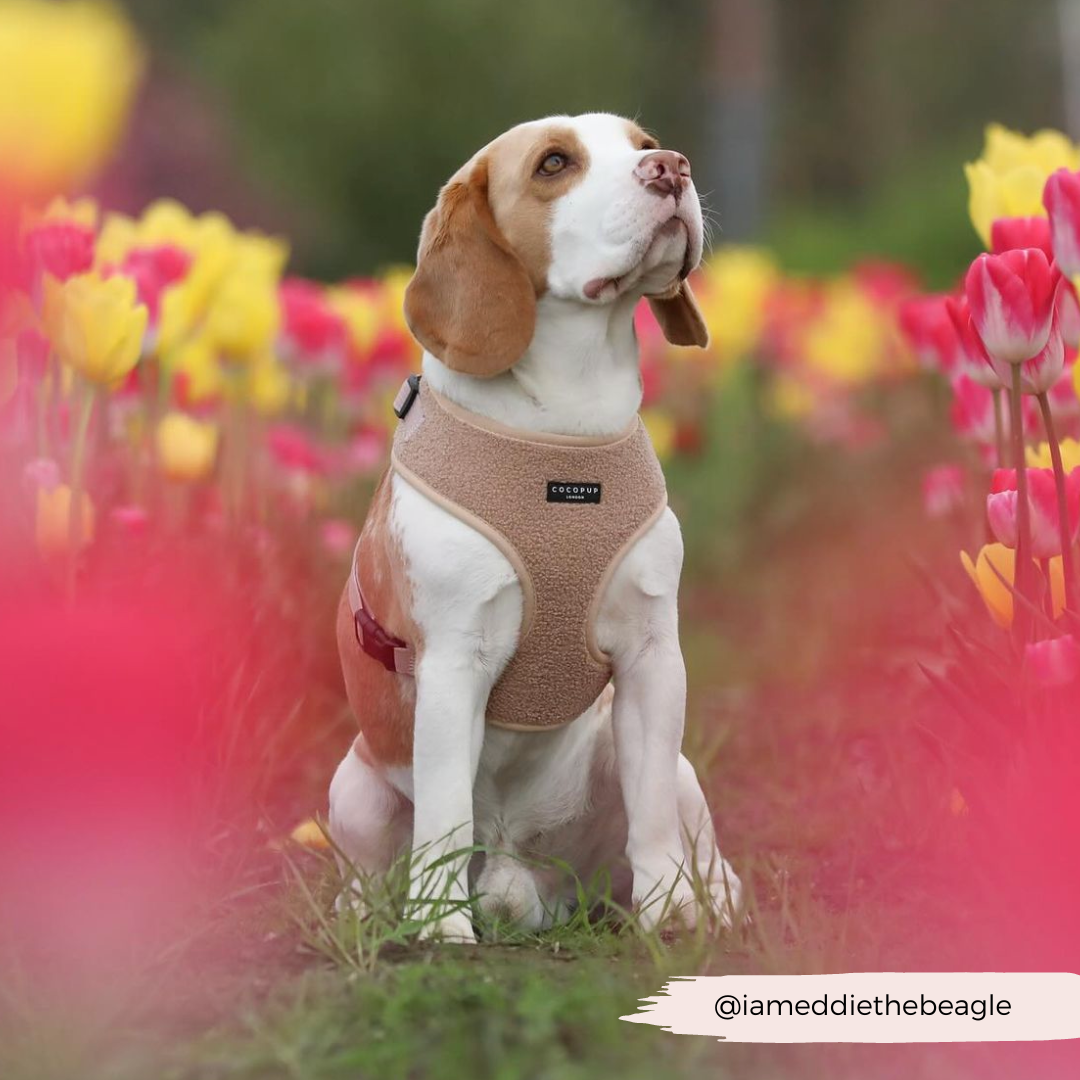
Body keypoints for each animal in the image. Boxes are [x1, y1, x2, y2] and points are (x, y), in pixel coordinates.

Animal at [328, 107, 743, 937]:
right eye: (554, 163)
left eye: (645, 146)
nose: (673, 168)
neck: (565, 443)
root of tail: (518, 870)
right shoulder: (453, 661)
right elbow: (445, 814)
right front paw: (440, 929)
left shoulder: (654, 655)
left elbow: (653, 811)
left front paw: (669, 910)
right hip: (351, 787)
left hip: (666, 767)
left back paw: (706, 900)